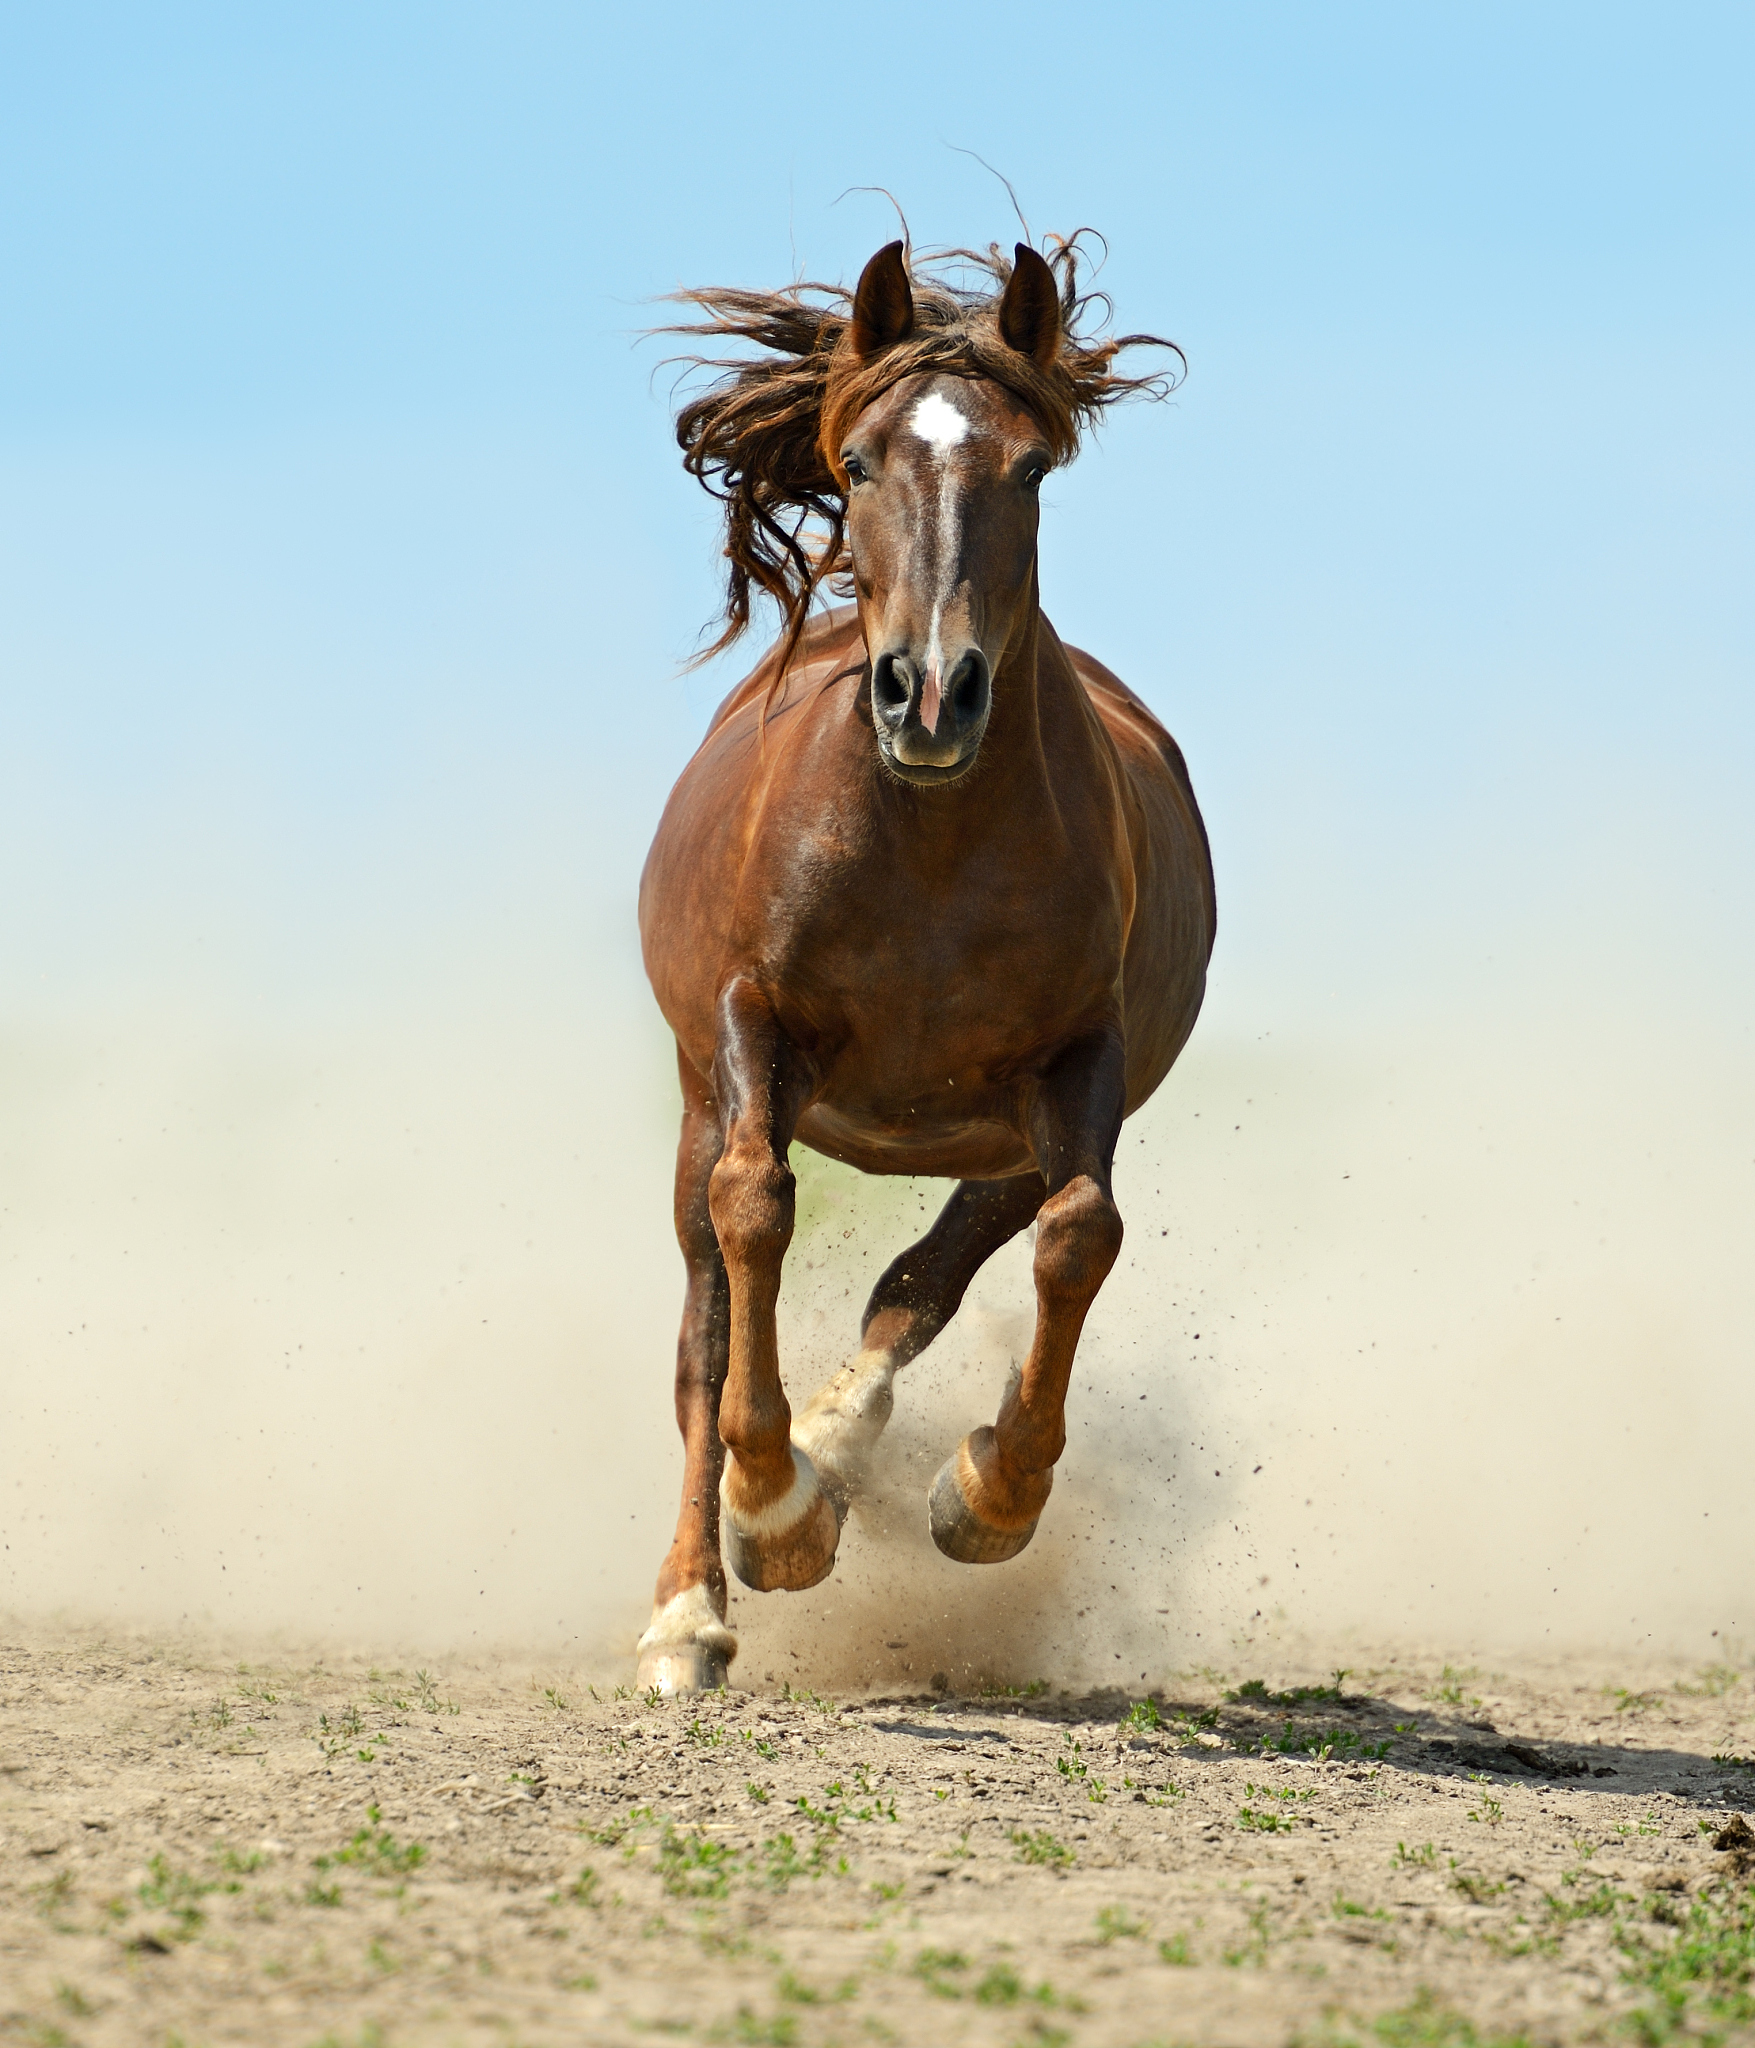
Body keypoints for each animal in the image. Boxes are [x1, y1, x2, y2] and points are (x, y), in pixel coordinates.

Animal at [632, 236, 1216, 1695]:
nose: (930, 694)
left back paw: (843, 1449)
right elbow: (754, 1214)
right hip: (696, 1096)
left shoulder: (1079, 1065)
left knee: (927, 1277)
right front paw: (768, 1513)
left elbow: (1078, 1236)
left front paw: (986, 1494)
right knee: (702, 1329)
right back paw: (694, 1600)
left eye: (1033, 469)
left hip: (997, 1136)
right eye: (854, 464)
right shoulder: (750, 1027)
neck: (929, 845)